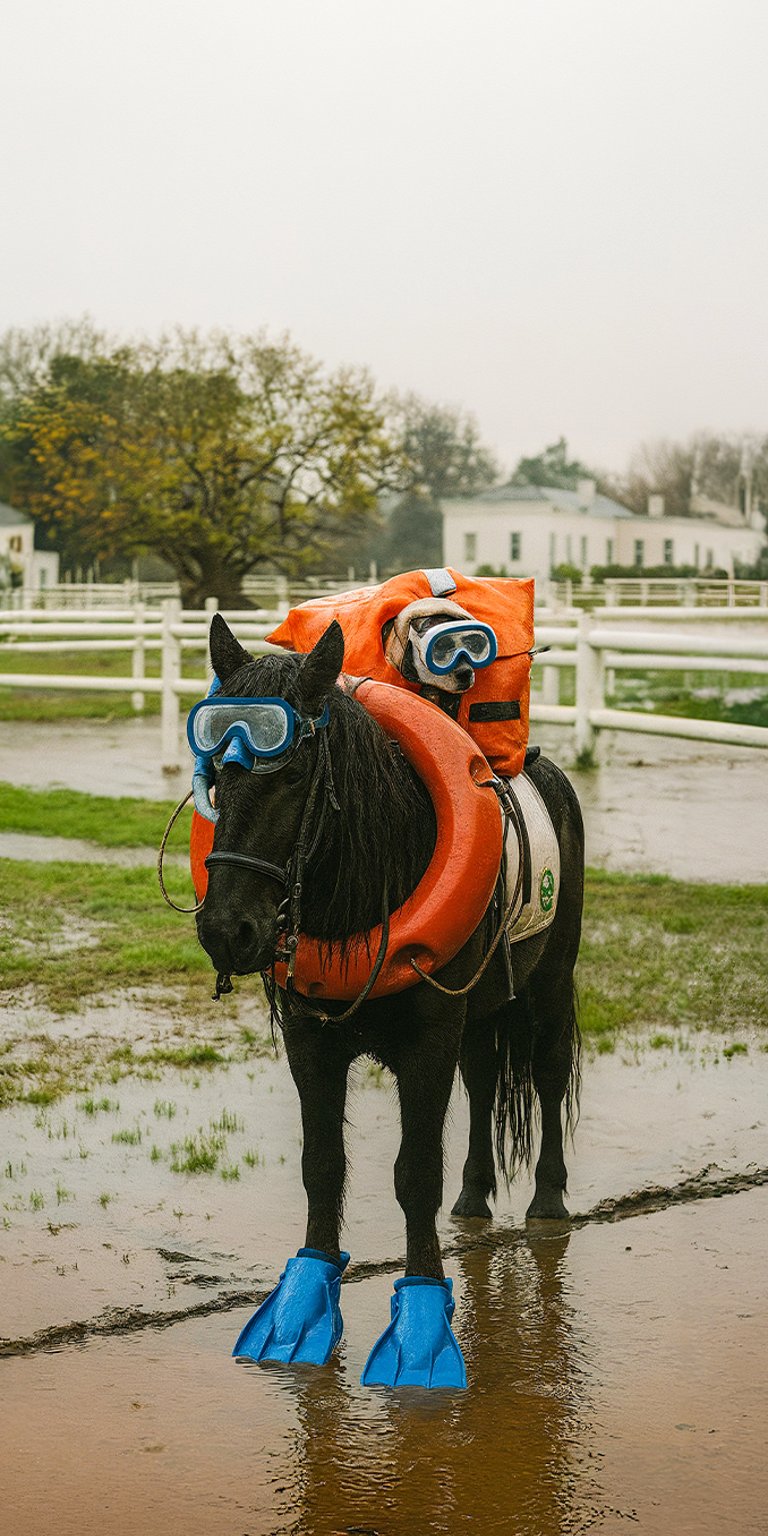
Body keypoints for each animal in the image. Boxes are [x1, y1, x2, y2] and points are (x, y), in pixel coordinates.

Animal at [196, 612, 584, 1387]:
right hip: (480, 1012)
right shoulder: (311, 1042)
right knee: (484, 1079)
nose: (226, 929)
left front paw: (421, 1326)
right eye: (216, 775)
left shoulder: (427, 1042)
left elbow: (414, 1174)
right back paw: (475, 1195)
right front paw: (300, 1311)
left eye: (292, 773)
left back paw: (549, 1200)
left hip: (551, 984)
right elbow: (322, 1166)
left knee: (549, 1075)